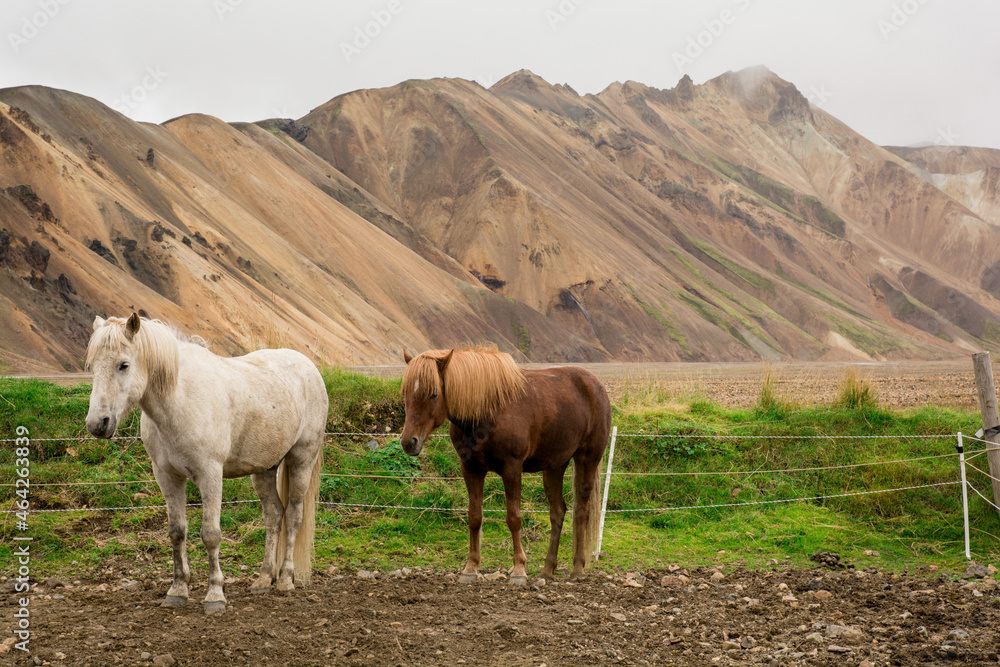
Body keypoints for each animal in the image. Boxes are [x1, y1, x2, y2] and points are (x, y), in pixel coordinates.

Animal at [84, 313, 327, 614]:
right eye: (91, 367)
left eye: (123, 365)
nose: (97, 424)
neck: (180, 399)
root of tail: (309, 367)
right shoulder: (167, 477)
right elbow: (177, 532)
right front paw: (177, 591)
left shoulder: (210, 474)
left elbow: (211, 534)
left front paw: (215, 595)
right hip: (264, 469)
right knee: (273, 515)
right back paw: (263, 579)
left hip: (301, 460)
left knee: (293, 516)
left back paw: (284, 579)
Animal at [400, 346, 612, 585]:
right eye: (405, 393)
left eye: (434, 394)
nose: (409, 442)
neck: (487, 410)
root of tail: (596, 385)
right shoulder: (471, 469)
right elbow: (475, 517)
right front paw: (470, 568)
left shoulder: (512, 469)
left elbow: (514, 518)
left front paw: (519, 570)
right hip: (554, 466)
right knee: (558, 512)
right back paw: (548, 569)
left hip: (588, 459)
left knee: (581, 512)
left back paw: (577, 568)